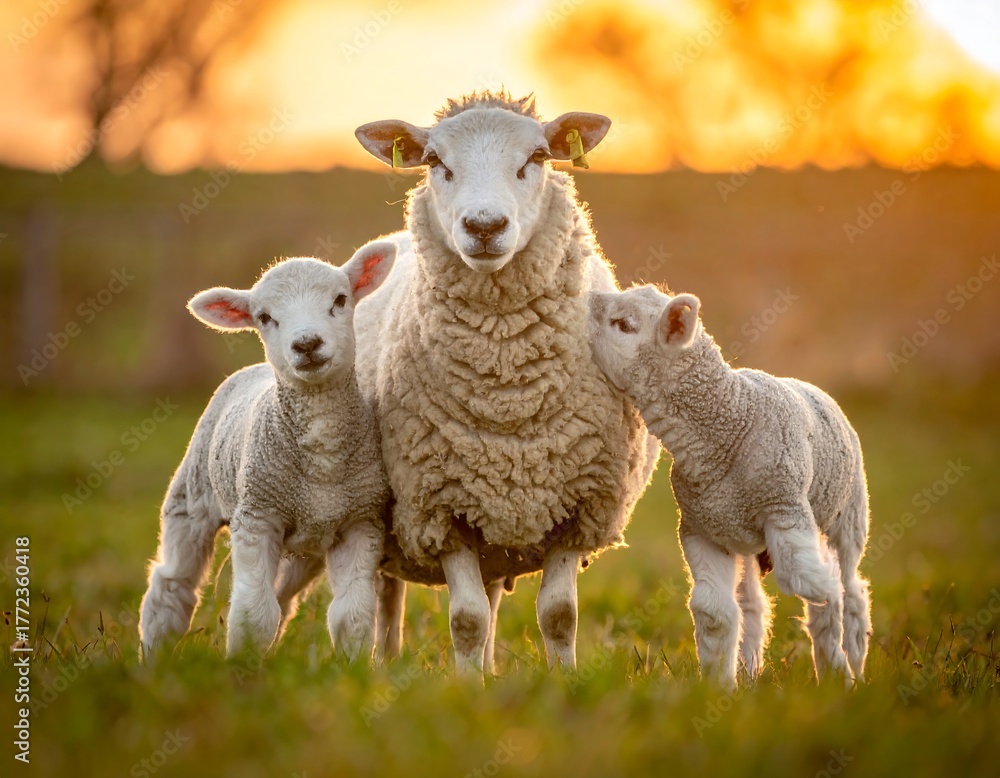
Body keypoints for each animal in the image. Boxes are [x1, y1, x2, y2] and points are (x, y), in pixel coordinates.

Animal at [138, 243, 396, 661]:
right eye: (264, 317)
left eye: (340, 299)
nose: (307, 344)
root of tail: (252, 368)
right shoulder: (258, 517)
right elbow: (253, 614)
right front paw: (240, 668)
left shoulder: (360, 521)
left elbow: (352, 616)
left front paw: (354, 669)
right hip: (191, 496)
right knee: (172, 585)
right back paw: (153, 660)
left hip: (306, 548)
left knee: (283, 598)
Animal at [341, 91, 660, 675]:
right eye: (435, 161)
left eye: (537, 156)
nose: (485, 226)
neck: (507, 392)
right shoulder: (438, 507)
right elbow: (466, 620)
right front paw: (466, 687)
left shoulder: (580, 505)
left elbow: (558, 615)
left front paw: (563, 680)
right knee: (386, 596)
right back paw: (386, 664)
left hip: (495, 526)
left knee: (485, 598)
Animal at [589, 285, 872, 688]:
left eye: (624, 324)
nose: (588, 300)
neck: (729, 425)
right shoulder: (702, 528)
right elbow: (714, 612)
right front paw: (717, 687)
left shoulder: (785, 505)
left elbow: (808, 581)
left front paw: (837, 668)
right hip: (743, 540)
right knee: (752, 604)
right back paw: (750, 671)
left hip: (849, 514)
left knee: (851, 590)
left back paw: (852, 666)